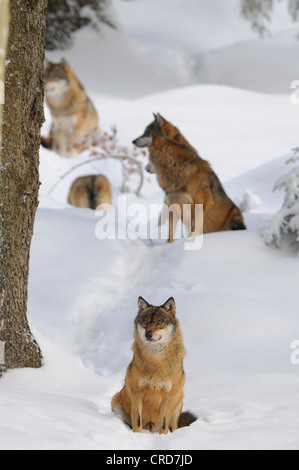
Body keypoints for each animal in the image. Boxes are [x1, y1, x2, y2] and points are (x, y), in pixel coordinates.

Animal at [111, 298, 198, 434]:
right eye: (146, 322)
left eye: (159, 322)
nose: (148, 334)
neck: (156, 360)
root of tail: (151, 427)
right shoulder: (137, 393)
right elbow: (137, 420)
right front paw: (137, 435)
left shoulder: (168, 396)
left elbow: (164, 423)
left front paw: (163, 436)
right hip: (116, 400)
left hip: (178, 401)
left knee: (173, 426)